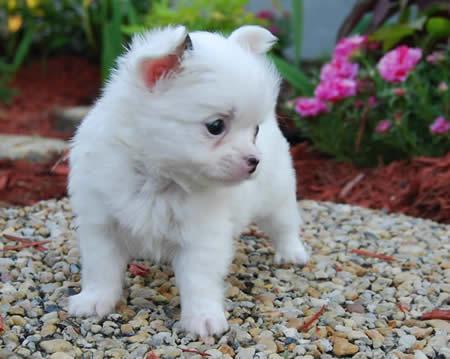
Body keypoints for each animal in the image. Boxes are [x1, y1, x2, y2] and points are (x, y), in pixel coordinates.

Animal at [67, 25, 310, 338]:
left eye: (255, 130)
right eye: (216, 126)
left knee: (284, 225)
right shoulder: (100, 224)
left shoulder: (201, 237)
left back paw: (291, 253)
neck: (157, 177)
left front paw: (203, 318)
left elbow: (199, 280)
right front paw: (94, 300)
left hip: (277, 197)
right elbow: (101, 269)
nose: (255, 161)